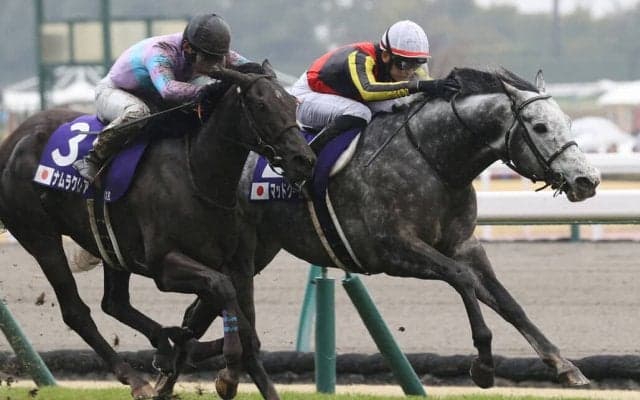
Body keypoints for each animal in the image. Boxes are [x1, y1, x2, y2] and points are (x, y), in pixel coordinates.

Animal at [0, 61, 315, 399]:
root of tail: (13, 139)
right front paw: (227, 373)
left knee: (114, 302)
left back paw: (167, 342)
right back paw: (138, 376)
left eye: (292, 103)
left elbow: (246, 329)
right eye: (261, 105)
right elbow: (222, 291)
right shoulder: (164, 265)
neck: (197, 173)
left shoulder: (239, 264)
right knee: (76, 311)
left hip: (110, 245)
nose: (304, 159)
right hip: (40, 237)